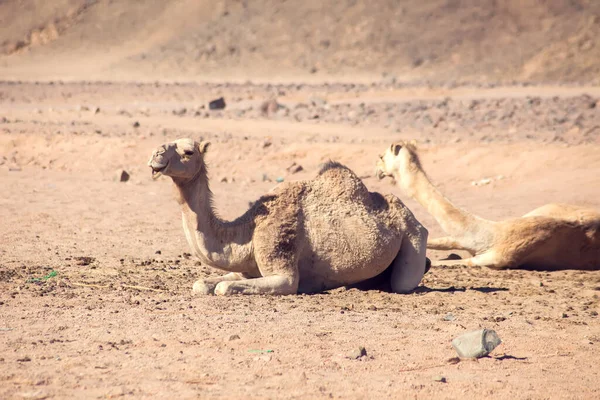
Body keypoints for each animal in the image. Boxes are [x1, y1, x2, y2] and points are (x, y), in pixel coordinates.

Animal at [149, 139, 432, 296]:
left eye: (189, 151)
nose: (155, 155)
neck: (248, 231)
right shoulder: (246, 271)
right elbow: (203, 284)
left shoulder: (279, 260)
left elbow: (224, 288)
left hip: (414, 233)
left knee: (403, 282)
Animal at [376, 142, 600, 270]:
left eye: (381, 156)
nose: (376, 170)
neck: (491, 233)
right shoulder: (462, 240)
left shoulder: (494, 259)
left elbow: (450, 262)